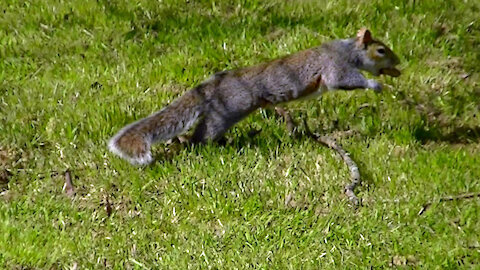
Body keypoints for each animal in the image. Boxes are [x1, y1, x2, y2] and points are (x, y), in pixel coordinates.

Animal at [109, 28, 402, 166]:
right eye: (381, 50)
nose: (399, 65)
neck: (347, 50)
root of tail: (215, 85)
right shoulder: (335, 67)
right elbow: (344, 81)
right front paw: (375, 84)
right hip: (228, 110)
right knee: (203, 134)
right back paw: (197, 146)